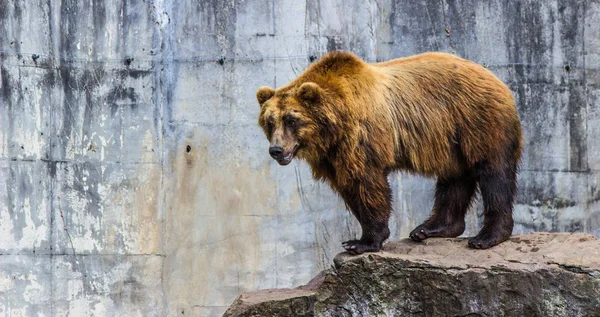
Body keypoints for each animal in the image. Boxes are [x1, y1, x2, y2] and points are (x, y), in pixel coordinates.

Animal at [255, 51, 524, 254]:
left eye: (292, 120)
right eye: (270, 121)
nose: (276, 150)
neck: (333, 129)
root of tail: (496, 78)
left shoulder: (362, 139)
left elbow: (367, 184)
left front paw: (361, 242)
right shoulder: (334, 156)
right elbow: (350, 187)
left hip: (478, 120)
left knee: (493, 172)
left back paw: (486, 236)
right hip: (451, 138)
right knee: (455, 177)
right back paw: (431, 228)